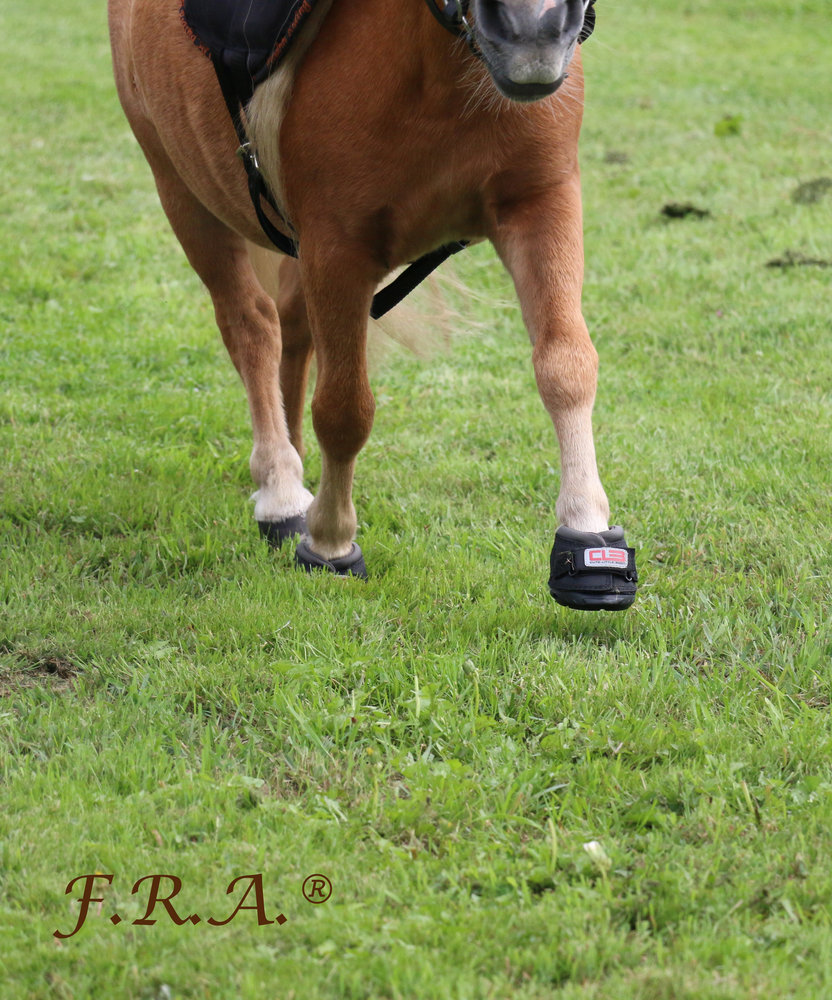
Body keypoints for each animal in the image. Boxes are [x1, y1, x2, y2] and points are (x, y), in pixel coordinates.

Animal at [107, 0, 638, 611]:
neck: (437, 70)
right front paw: (331, 543)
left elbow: (566, 365)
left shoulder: (540, 203)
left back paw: (293, 462)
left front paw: (588, 534)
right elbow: (344, 409)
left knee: (292, 330)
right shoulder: (337, 248)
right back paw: (280, 488)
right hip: (182, 192)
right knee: (251, 326)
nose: (536, 28)